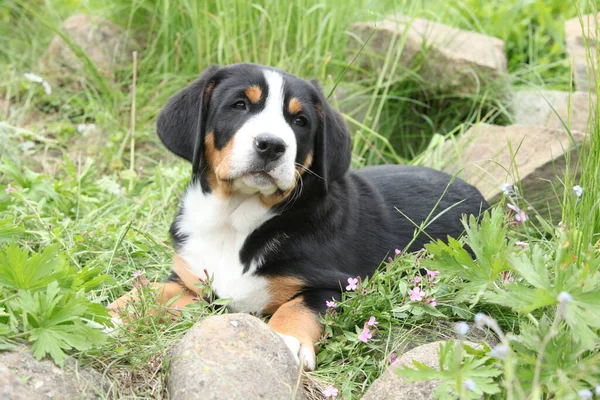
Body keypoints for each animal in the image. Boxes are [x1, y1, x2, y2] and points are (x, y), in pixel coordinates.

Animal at [110, 63, 490, 372]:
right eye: (239, 105)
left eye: (300, 121)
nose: (271, 145)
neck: (236, 220)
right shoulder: (190, 279)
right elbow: (148, 291)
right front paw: (111, 313)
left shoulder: (340, 283)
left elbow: (298, 307)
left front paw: (286, 342)